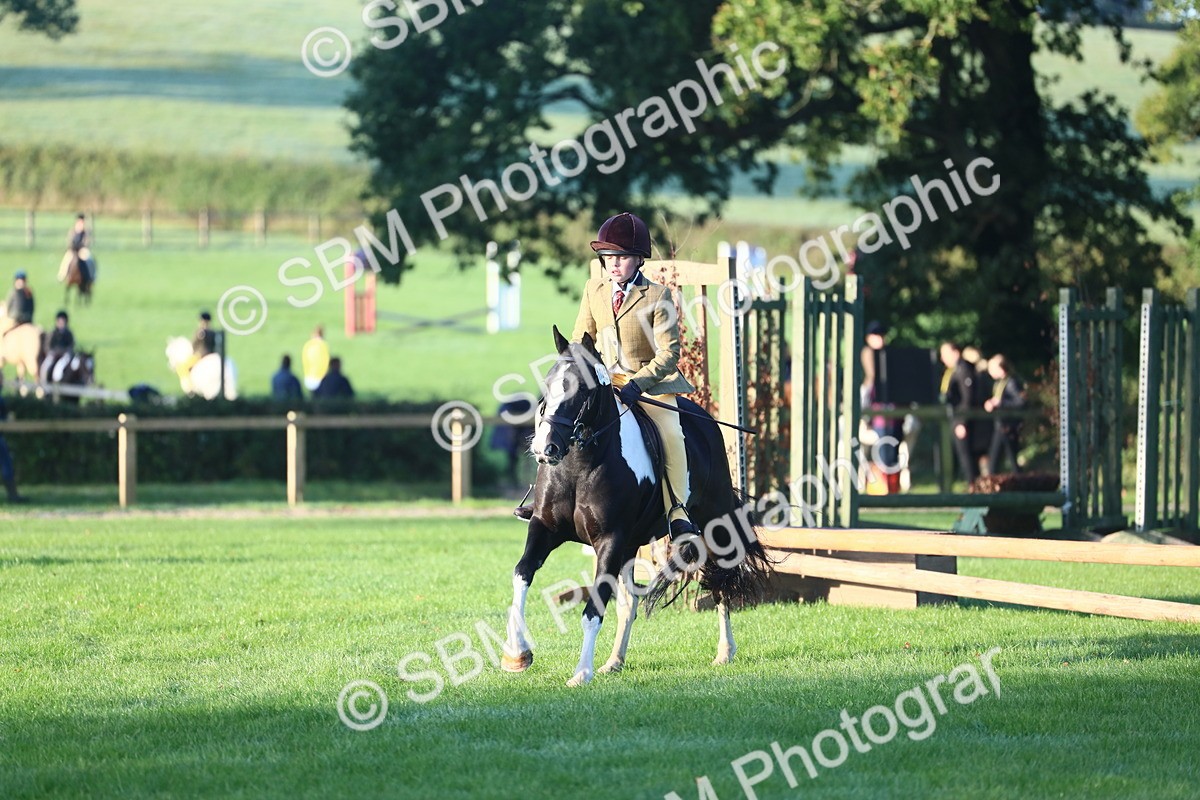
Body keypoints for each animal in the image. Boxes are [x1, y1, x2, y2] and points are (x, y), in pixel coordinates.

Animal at [502, 327, 769, 687]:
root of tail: (704, 420)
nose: (546, 448)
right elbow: (522, 575)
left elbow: (593, 608)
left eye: (583, 389)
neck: (580, 465)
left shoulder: (610, 540)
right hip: (631, 544)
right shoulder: (545, 528)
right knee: (629, 602)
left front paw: (581, 673)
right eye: (548, 382)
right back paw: (614, 660)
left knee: (720, 583)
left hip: (713, 525)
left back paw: (725, 651)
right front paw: (517, 654)